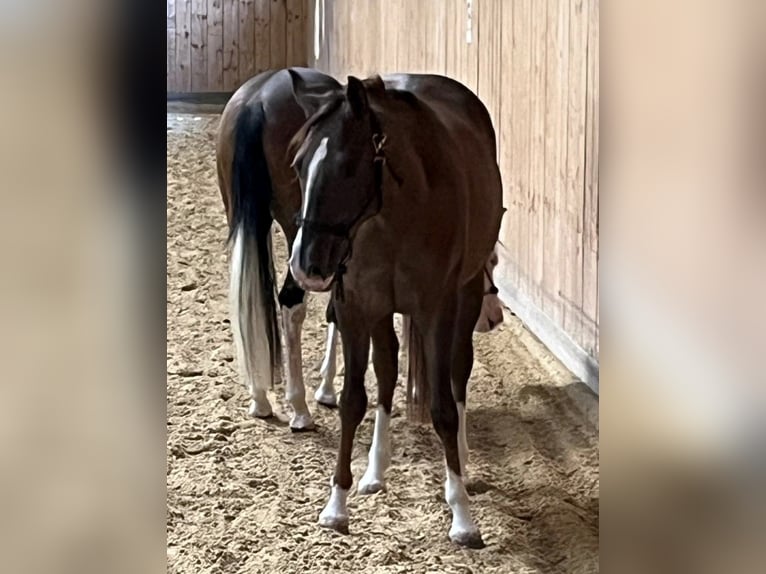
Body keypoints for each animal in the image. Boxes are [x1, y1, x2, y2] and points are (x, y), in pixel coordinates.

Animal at [286, 72, 504, 548]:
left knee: (458, 374)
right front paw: (336, 505)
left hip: (466, 298)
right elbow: (353, 400)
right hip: (382, 312)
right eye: (297, 165)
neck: (392, 220)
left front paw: (462, 517)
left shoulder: (437, 310)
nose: (306, 265)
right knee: (386, 374)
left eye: (347, 168)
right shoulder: (355, 307)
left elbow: (443, 406)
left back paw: (461, 463)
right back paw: (375, 470)